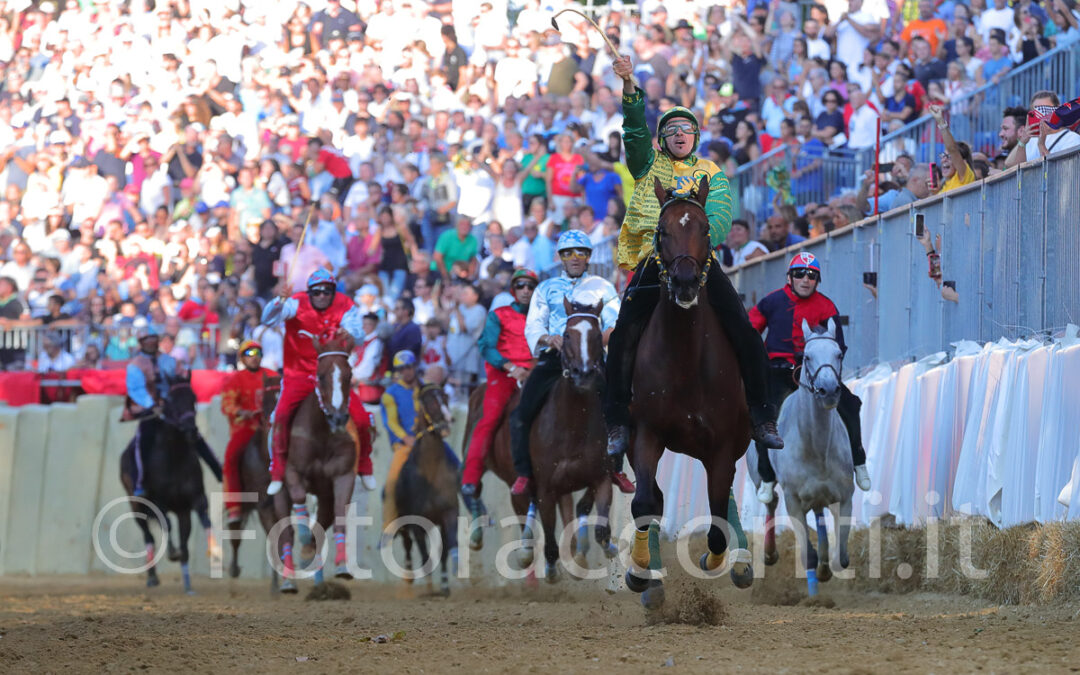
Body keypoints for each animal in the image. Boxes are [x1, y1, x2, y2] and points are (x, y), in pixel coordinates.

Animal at [120, 371, 219, 591]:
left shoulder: (193, 501)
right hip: (135, 505)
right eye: (170, 400)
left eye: (193, 398)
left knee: (181, 541)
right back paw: (152, 577)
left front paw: (216, 551)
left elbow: (204, 521)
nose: (190, 430)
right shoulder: (158, 502)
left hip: (179, 511)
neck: (175, 458)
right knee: (148, 536)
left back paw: (188, 584)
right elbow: (166, 525)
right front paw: (172, 553)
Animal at [272, 334, 356, 591]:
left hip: (325, 494)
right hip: (279, 490)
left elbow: (339, 517)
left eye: (349, 375)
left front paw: (341, 566)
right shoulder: (292, 472)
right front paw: (304, 543)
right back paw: (288, 580)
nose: (338, 417)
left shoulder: (343, 475)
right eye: (320, 375)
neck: (321, 434)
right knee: (286, 532)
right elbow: (299, 499)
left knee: (322, 522)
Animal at [393, 384, 460, 596]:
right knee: (408, 546)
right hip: (404, 521)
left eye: (446, 397)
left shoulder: (448, 514)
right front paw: (430, 588)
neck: (430, 473)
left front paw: (445, 585)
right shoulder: (416, 522)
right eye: (429, 400)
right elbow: (425, 556)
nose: (446, 422)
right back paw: (409, 578)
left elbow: (445, 551)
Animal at [622, 176, 756, 609]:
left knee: (723, 498)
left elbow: (716, 519)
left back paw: (741, 563)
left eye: (704, 229)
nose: (684, 281)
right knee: (655, 498)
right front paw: (640, 573)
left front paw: (718, 560)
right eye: (662, 232)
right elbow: (645, 502)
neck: (684, 360)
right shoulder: (645, 433)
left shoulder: (723, 444)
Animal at [747, 317, 846, 591]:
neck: (816, 447)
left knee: (819, 513)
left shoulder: (844, 496)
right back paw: (770, 553)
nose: (828, 390)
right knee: (771, 501)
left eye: (839, 354)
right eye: (807, 356)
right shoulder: (793, 500)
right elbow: (807, 554)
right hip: (759, 477)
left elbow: (841, 556)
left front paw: (826, 566)